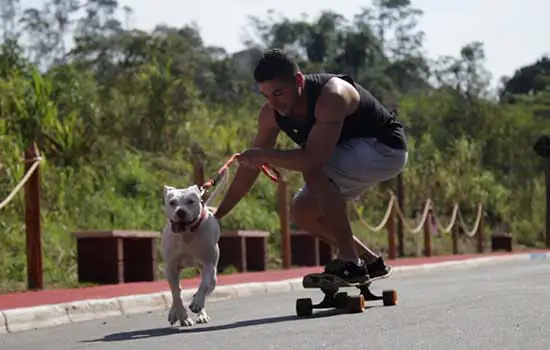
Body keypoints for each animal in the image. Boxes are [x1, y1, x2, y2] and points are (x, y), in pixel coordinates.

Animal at [161, 169, 230, 326]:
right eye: (172, 202)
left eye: (191, 201)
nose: (180, 211)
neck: (187, 234)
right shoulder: (170, 267)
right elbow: (176, 294)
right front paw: (182, 315)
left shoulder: (209, 265)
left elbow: (203, 286)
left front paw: (197, 303)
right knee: (177, 289)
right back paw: (174, 312)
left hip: (213, 277)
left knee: (206, 288)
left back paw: (200, 311)